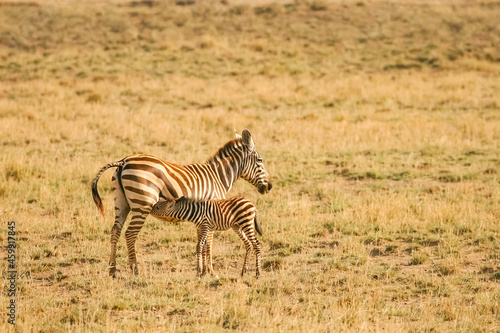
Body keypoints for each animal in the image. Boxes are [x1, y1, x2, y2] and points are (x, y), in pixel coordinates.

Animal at [92, 129, 272, 274]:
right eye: (260, 161)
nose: (269, 187)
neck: (218, 177)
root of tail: (123, 161)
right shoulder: (213, 211)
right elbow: (209, 244)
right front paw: (211, 271)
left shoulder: (203, 217)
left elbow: (202, 243)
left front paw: (203, 270)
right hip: (142, 205)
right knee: (130, 234)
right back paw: (134, 270)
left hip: (121, 203)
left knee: (115, 231)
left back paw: (113, 270)